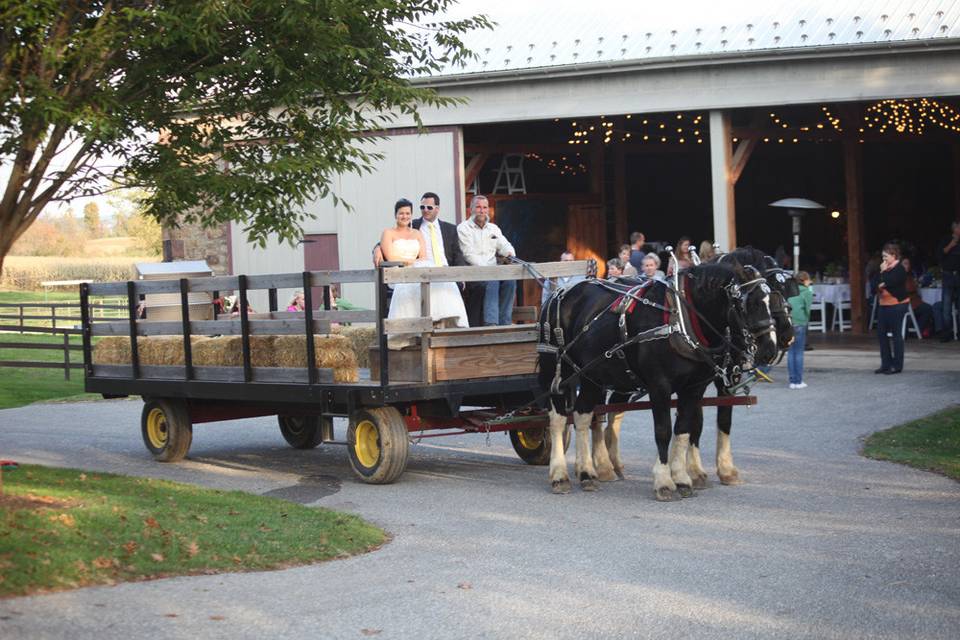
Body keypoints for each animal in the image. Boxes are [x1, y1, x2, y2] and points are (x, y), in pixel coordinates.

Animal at [536, 260, 776, 500]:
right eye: (749, 303)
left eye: (773, 299)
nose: (770, 349)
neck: (679, 318)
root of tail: (559, 292)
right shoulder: (659, 386)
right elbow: (663, 430)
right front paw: (663, 481)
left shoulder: (694, 388)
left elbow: (684, 428)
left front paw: (682, 478)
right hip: (558, 371)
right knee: (558, 419)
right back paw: (560, 475)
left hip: (591, 377)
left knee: (583, 415)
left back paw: (588, 472)